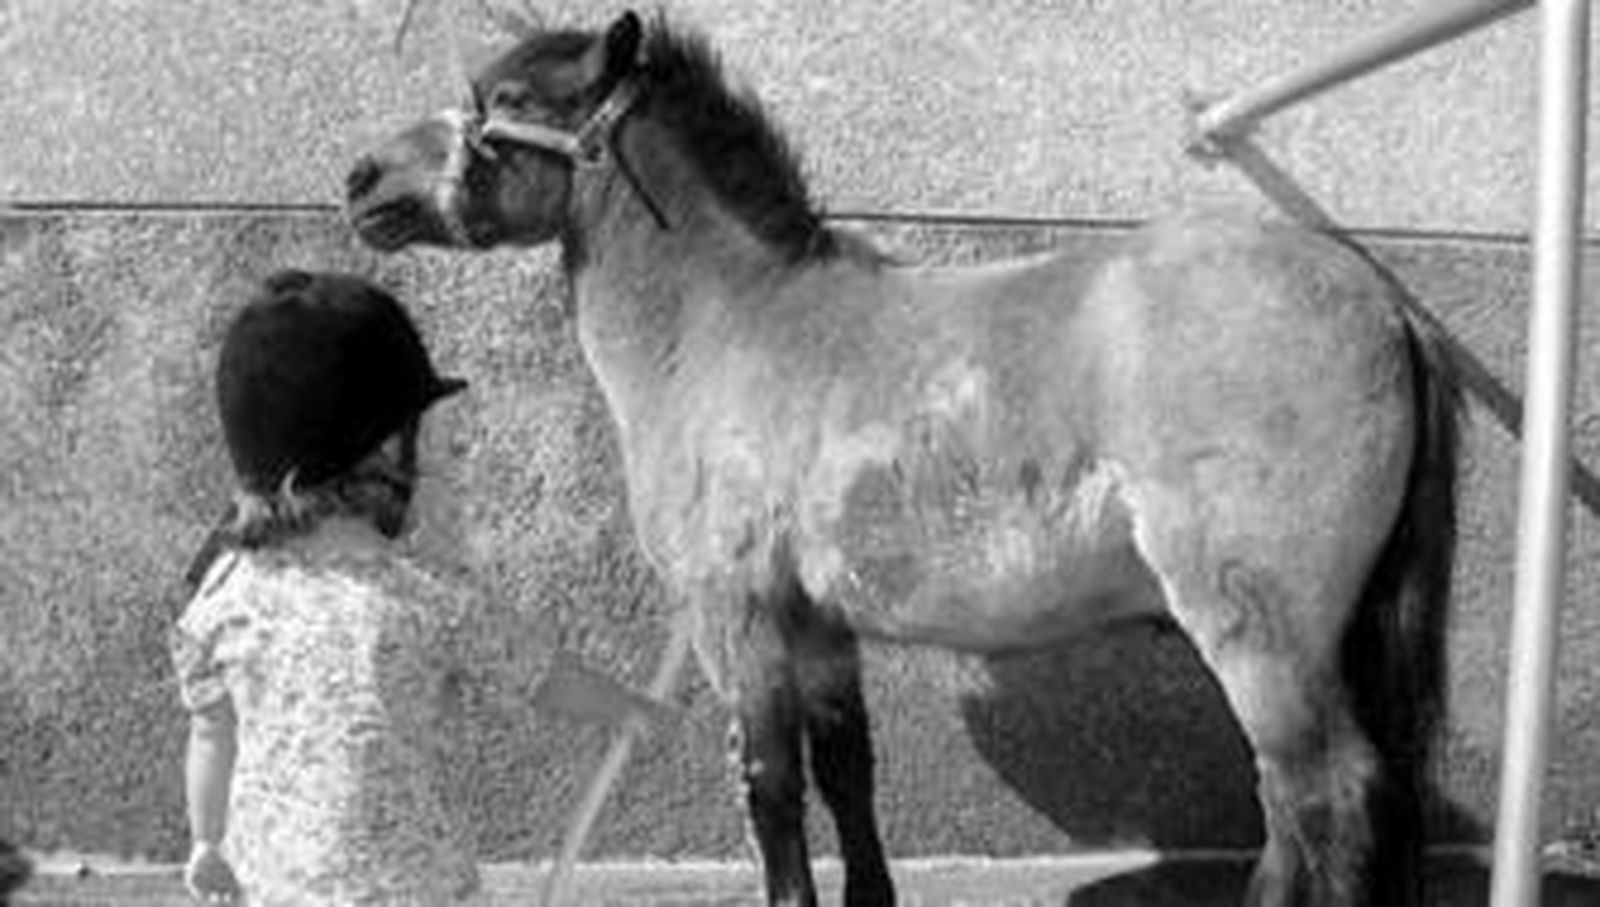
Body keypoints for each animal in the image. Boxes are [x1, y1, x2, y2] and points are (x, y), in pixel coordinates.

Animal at [345, 11, 1462, 906]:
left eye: (507, 101)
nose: (362, 180)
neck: (730, 324)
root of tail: (1380, 300)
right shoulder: (820, 625)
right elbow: (849, 772)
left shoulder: (738, 616)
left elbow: (773, 790)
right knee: (1294, 810)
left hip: (1261, 635)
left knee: (1323, 797)